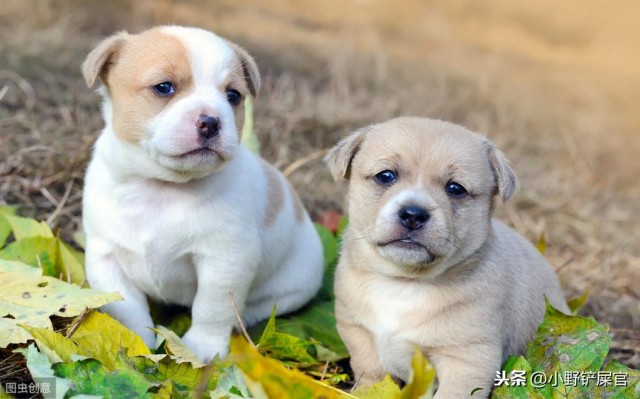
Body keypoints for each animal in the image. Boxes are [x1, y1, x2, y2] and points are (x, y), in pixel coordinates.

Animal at [328, 117, 568, 398]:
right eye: (385, 176)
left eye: (455, 189)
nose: (413, 214)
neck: (404, 282)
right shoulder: (356, 329)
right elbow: (371, 373)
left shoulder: (467, 358)